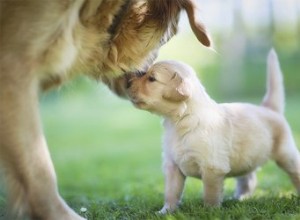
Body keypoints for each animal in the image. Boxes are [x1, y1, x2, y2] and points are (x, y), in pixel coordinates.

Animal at [127, 49, 300, 213]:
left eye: (152, 79)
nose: (127, 83)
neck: (181, 120)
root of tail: (269, 108)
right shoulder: (172, 166)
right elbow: (171, 192)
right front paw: (166, 211)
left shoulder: (212, 167)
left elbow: (210, 193)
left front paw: (210, 211)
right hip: (247, 156)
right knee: (248, 178)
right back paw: (240, 198)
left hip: (286, 154)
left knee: (295, 171)